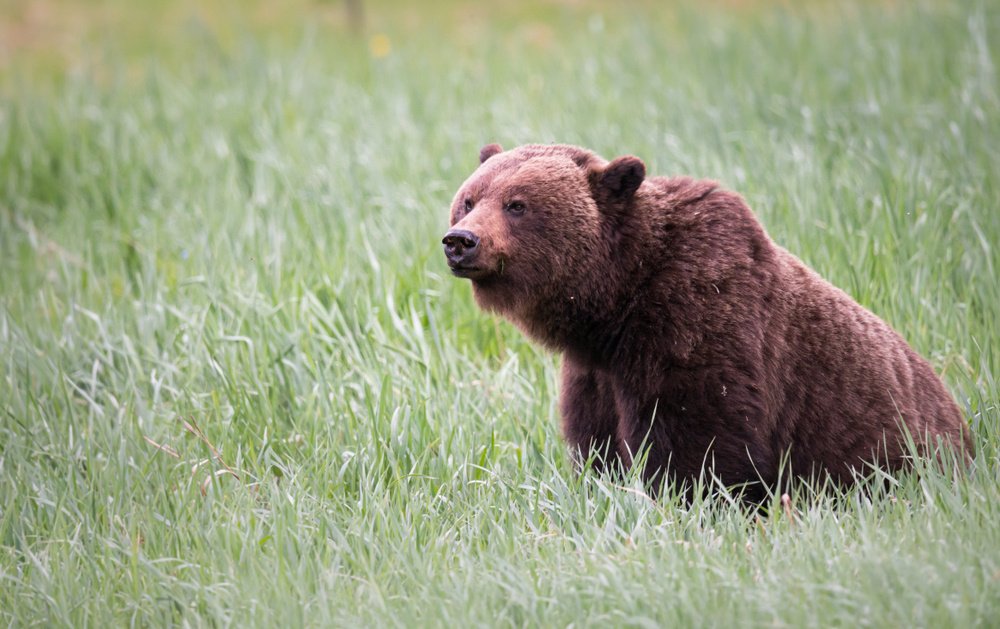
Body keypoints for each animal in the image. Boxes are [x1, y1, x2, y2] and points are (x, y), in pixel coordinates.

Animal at [442, 143, 971, 501]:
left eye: (517, 204)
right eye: (470, 198)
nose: (460, 241)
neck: (614, 303)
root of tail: (963, 424)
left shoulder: (697, 320)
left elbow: (700, 438)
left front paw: (687, 499)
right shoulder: (596, 371)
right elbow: (597, 442)